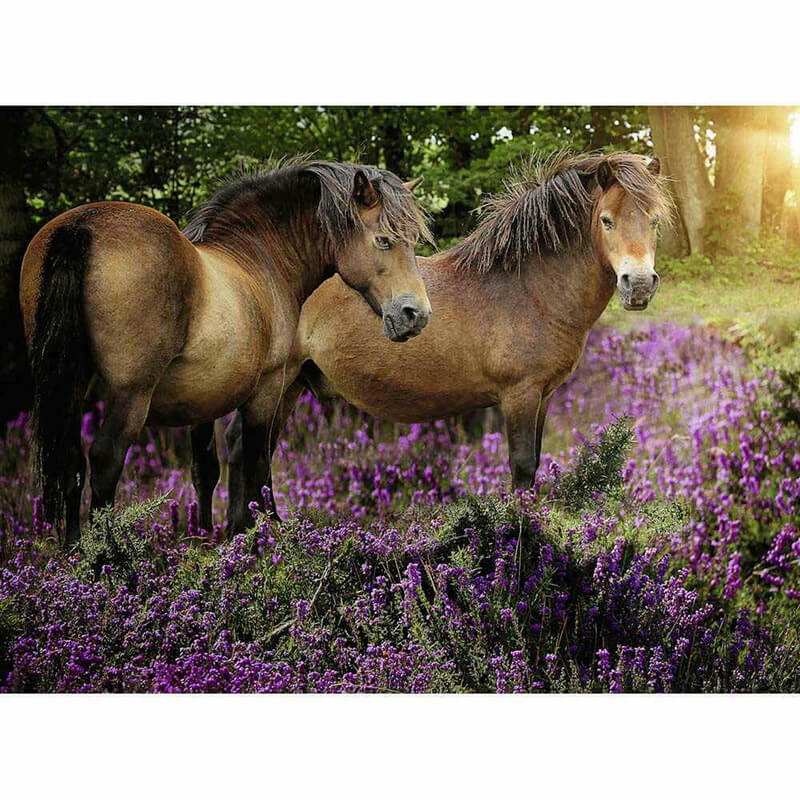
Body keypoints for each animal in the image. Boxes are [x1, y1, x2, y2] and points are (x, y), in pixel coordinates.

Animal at [19, 159, 432, 547]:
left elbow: (206, 470)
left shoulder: (202, 402)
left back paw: (75, 551)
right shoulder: (268, 387)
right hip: (131, 394)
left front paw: (205, 538)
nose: (416, 314)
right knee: (105, 460)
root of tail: (82, 226)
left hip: (70, 386)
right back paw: (106, 558)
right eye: (384, 240)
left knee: (70, 462)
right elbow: (256, 460)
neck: (260, 258)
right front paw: (258, 533)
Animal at [244, 151, 671, 507]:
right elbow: (522, 468)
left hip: (290, 387)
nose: (639, 284)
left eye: (653, 220)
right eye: (606, 220)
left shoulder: (544, 395)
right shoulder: (519, 394)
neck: (530, 288)